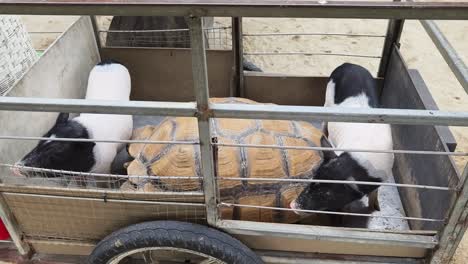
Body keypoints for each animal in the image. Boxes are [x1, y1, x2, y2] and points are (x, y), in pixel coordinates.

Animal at [290, 62, 394, 214]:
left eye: (327, 194)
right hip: (327, 98)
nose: (292, 205)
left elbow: (375, 192)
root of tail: (348, 64)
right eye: (314, 178)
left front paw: (376, 208)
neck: (360, 162)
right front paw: (345, 211)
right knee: (324, 122)